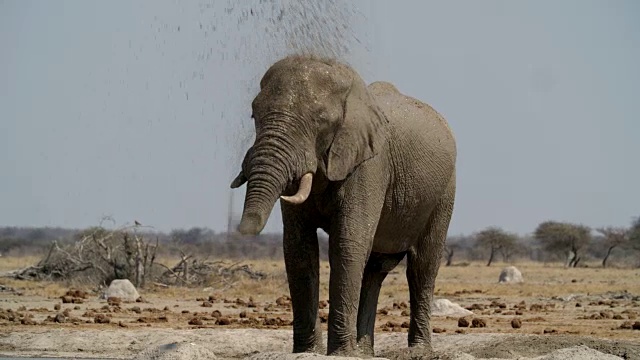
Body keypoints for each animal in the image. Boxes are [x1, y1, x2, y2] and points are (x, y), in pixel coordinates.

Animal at [230, 54, 456, 358]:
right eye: (255, 115)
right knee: (375, 271)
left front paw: (340, 353)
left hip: (445, 191)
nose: (240, 230)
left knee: (422, 266)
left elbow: (347, 242)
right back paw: (363, 351)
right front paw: (307, 351)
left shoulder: (369, 165)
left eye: (321, 120)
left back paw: (417, 350)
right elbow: (298, 248)